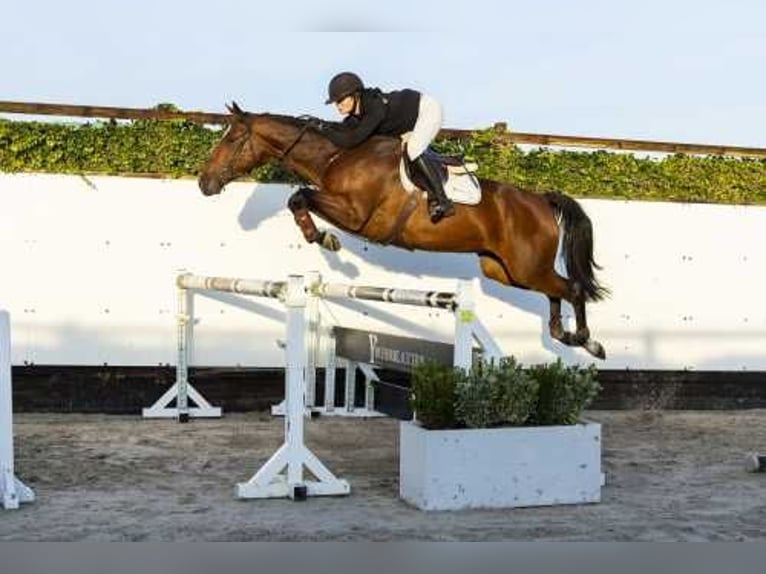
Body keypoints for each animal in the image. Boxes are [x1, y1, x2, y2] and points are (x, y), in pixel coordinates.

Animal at [200, 101, 612, 358]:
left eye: (232, 139)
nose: (205, 183)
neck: (338, 155)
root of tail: (540, 199)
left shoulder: (356, 214)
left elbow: (300, 196)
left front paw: (325, 239)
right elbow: (297, 199)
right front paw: (319, 237)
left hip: (524, 267)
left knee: (572, 288)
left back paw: (589, 342)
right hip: (506, 270)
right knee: (556, 290)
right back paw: (563, 334)